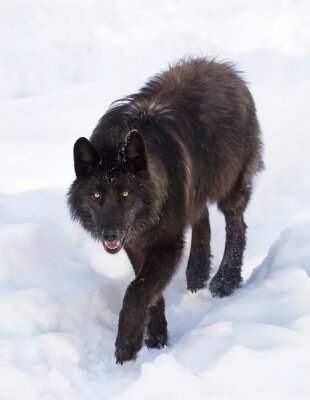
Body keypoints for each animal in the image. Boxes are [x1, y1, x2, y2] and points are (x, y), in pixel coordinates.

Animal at [66, 57, 262, 364]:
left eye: (125, 193)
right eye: (97, 195)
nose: (110, 234)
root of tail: (223, 66)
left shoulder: (167, 241)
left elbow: (137, 289)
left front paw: (127, 344)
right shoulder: (135, 242)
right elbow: (149, 290)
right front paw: (155, 337)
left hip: (230, 186)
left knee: (236, 225)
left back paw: (225, 280)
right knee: (202, 217)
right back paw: (197, 273)